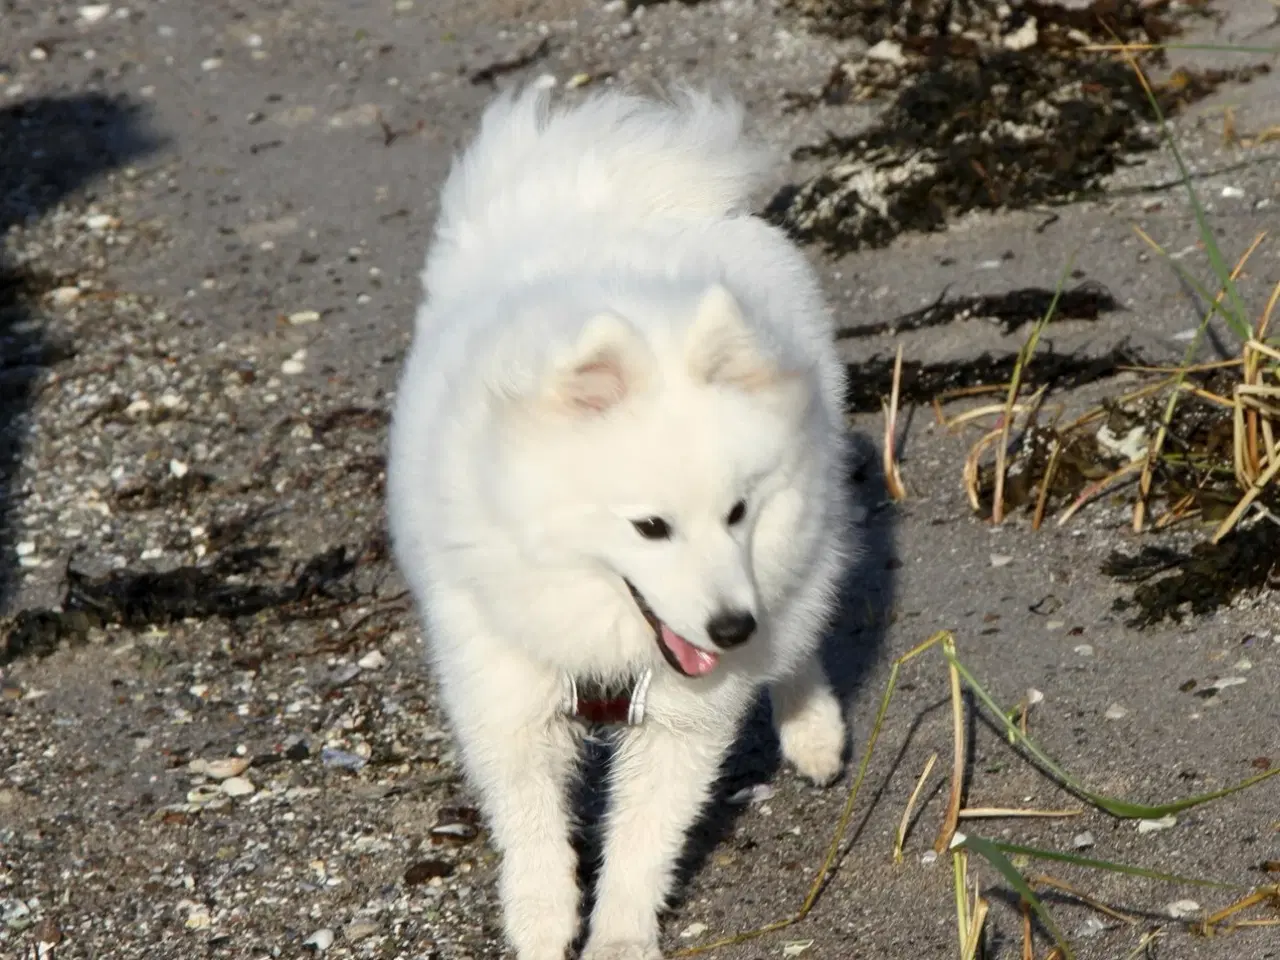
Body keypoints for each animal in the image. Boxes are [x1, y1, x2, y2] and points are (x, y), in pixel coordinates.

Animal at [384, 84, 855, 960]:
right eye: (650, 527)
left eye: (737, 511)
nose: (731, 627)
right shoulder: (504, 684)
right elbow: (533, 829)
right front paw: (541, 927)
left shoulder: (680, 716)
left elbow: (643, 839)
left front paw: (619, 937)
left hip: (806, 557)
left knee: (799, 643)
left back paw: (812, 731)